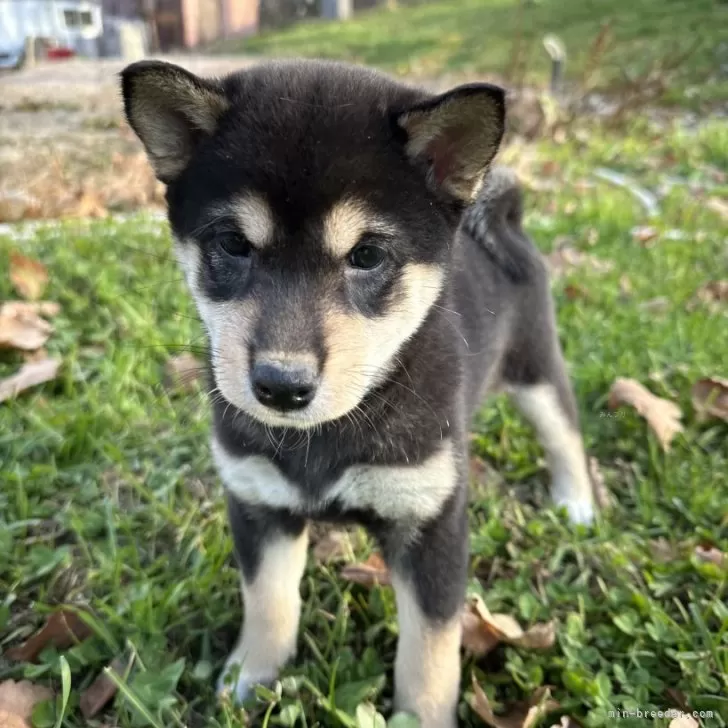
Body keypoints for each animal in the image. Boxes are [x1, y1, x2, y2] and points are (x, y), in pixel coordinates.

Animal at [121, 58, 596, 728]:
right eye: (233, 245)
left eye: (367, 255)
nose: (281, 386)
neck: (329, 435)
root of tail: (505, 219)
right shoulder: (258, 503)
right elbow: (268, 602)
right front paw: (250, 679)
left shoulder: (430, 523)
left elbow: (429, 652)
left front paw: (422, 717)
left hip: (535, 368)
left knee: (564, 433)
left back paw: (576, 503)